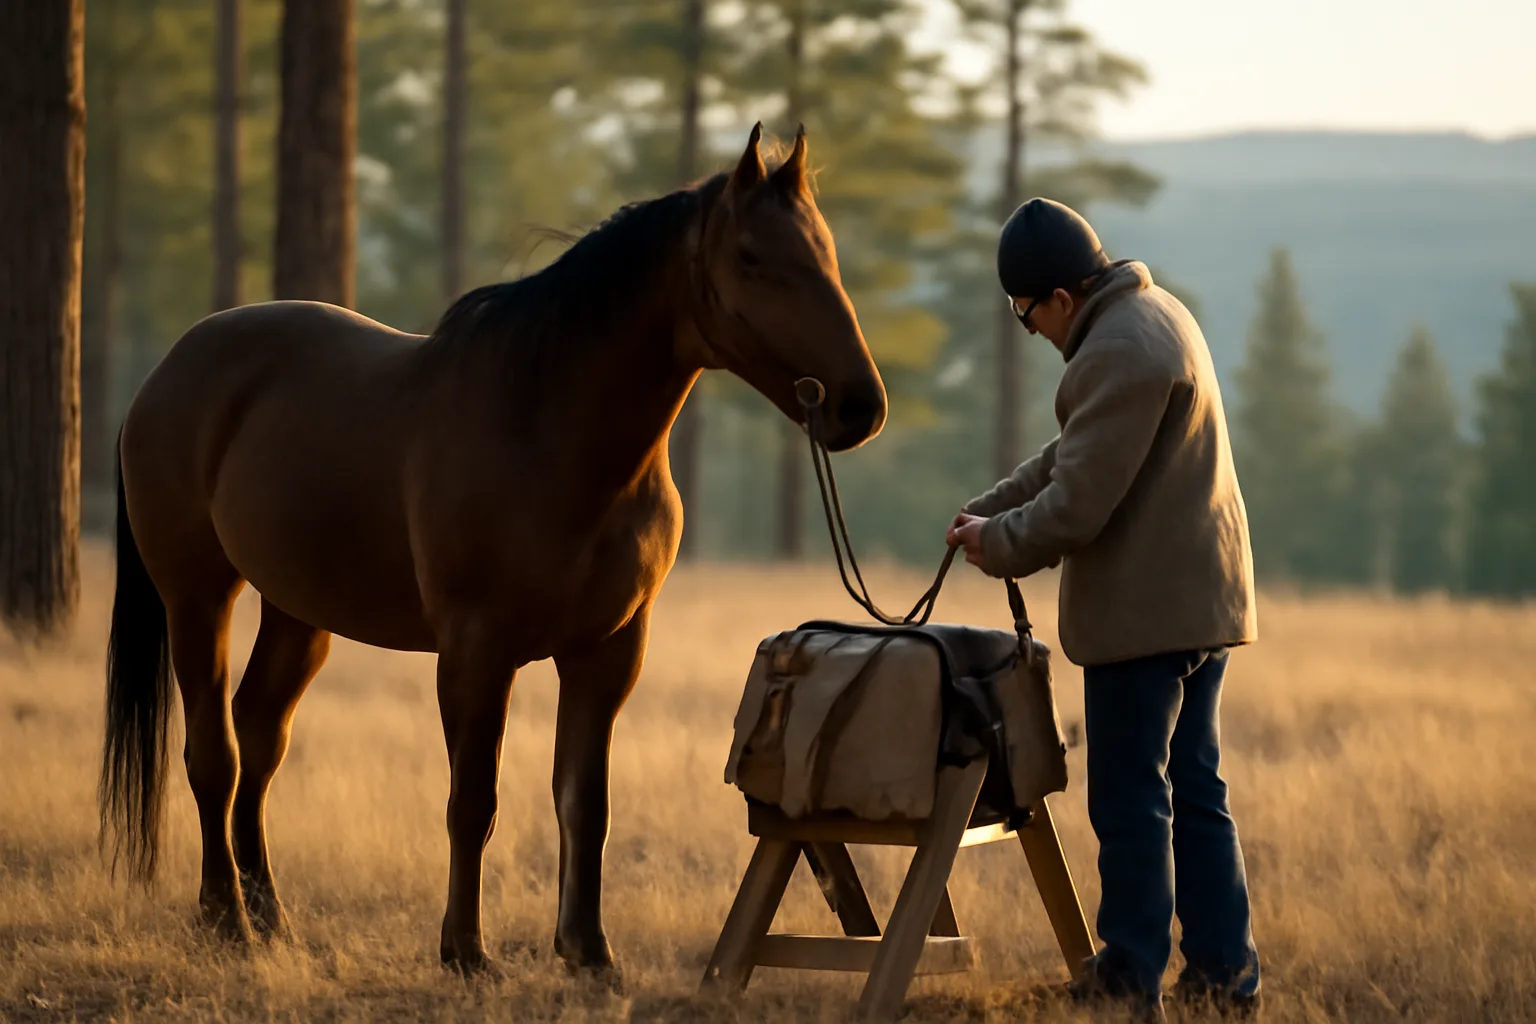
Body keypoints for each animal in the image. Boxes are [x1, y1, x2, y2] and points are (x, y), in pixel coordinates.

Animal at [97, 124, 886, 975]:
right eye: (750, 256)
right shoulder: (476, 653)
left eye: (826, 252)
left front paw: (587, 953)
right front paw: (465, 952)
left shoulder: (607, 653)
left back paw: (271, 917)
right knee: (213, 754)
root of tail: (168, 372)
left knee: (259, 738)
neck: (546, 432)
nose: (858, 407)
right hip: (196, 597)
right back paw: (227, 920)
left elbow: (583, 803)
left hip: (297, 612)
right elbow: (473, 801)